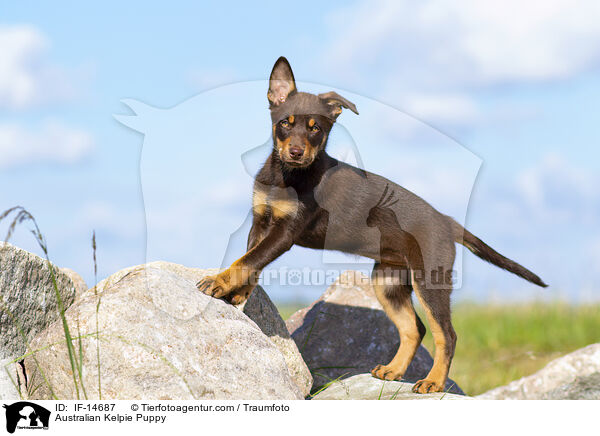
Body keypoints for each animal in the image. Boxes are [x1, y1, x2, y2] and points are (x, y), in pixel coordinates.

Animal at [198, 56, 548, 394]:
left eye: (315, 129)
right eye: (285, 123)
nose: (296, 152)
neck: (286, 175)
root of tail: (448, 222)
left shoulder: (285, 232)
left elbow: (249, 259)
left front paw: (218, 282)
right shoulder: (261, 221)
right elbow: (250, 260)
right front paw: (237, 292)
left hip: (429, 280)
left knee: (446, 334)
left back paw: (433, 382)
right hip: (387, 280)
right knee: (415, 328)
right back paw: (393, 370)